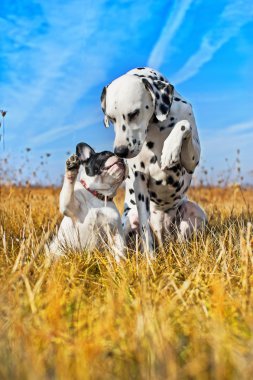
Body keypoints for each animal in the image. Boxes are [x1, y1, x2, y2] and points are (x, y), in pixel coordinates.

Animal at [100, 67, 207, 256]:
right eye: (111, 118)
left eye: (134, 113)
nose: (120, 151)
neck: (157, 125)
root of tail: (162, 233)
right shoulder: (140, 180)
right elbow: (145, 231)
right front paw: (150, 259)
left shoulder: (191, 161)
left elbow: (183, 124)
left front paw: (170, 148)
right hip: (129, 219)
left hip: (194, 212)